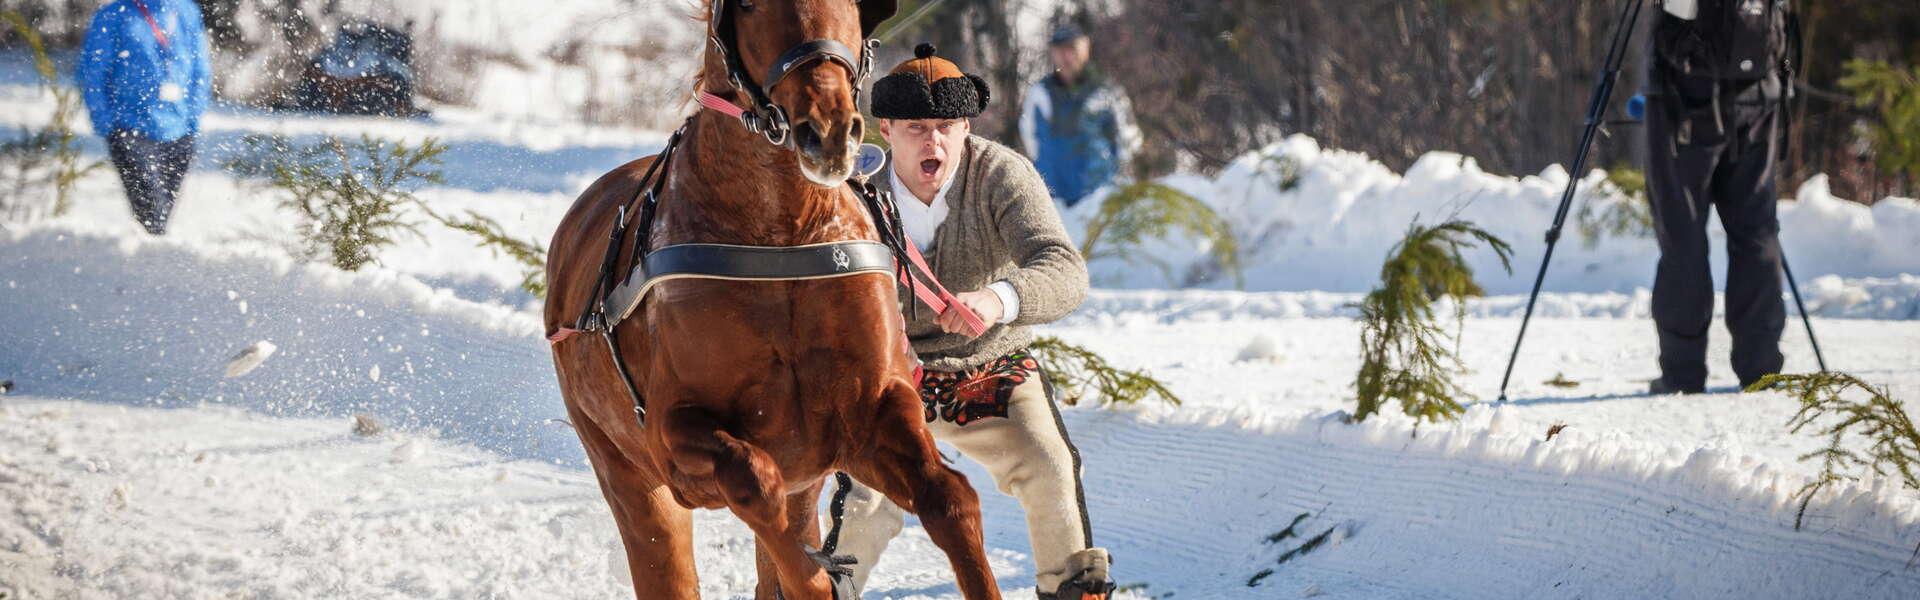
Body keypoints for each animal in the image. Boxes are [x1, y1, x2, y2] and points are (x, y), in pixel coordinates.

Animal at [537, 2, 998, 596]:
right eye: (752, 6)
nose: (828, 131)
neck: (784, 235)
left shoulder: (867, 413)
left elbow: (948, 497)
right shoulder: (673, 439)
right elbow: (754, 485)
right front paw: (817, 575)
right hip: (626, 471)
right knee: (666, 552)